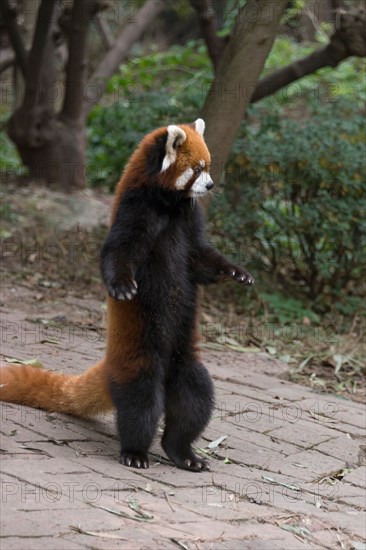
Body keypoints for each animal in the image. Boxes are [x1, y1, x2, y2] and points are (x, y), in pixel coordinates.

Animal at [0, 121, 253, 474]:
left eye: (208, 167)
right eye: (196, 169)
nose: (211, 184)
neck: (168, 205)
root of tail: (108, 366)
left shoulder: (189, 222)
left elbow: (202, 261)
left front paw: (236, 272)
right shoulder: (134, 211)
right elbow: (116, 252)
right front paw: (121, 287)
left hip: (183, 359)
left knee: (195, 397)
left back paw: (182, 452)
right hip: (138, 357)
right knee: (141, 402)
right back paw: (135, 452)